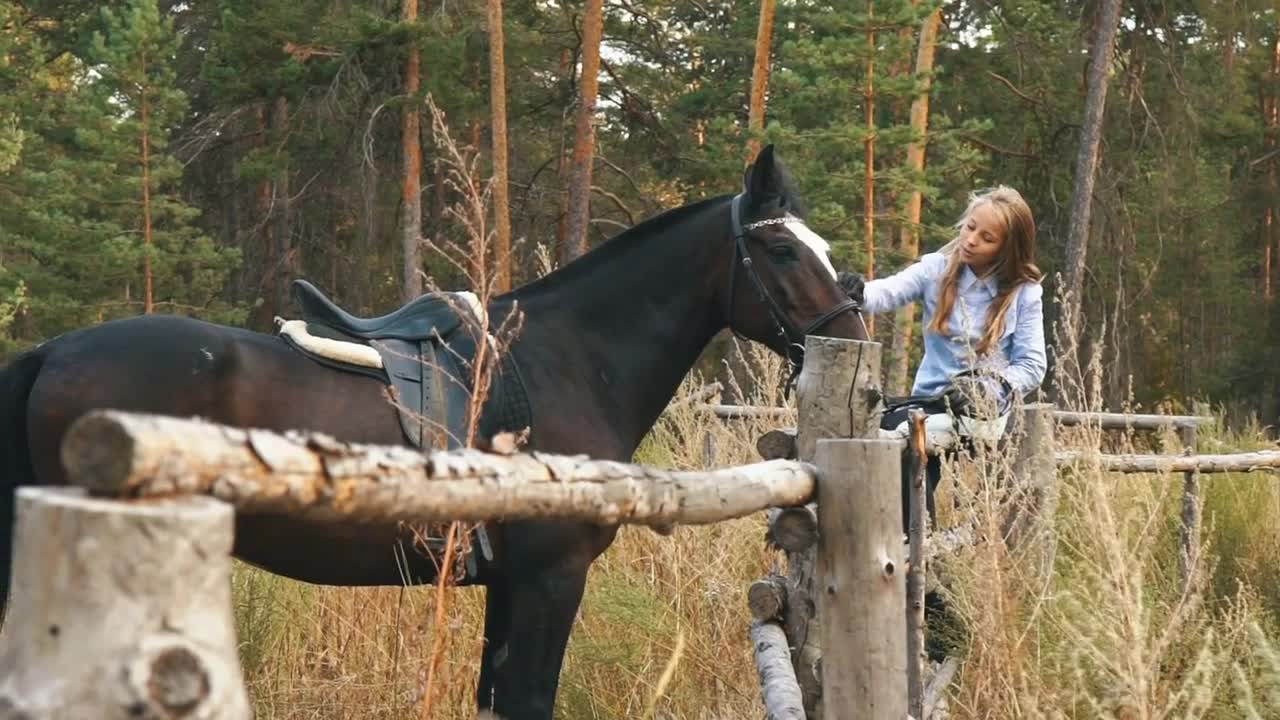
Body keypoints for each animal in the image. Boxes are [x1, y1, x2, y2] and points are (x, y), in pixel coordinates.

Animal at [0, 144, 865, 712]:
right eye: (781, 250)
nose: (857, 341)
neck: (567, 360)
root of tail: (51, 352)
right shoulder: (552, 577)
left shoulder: (510, 585)